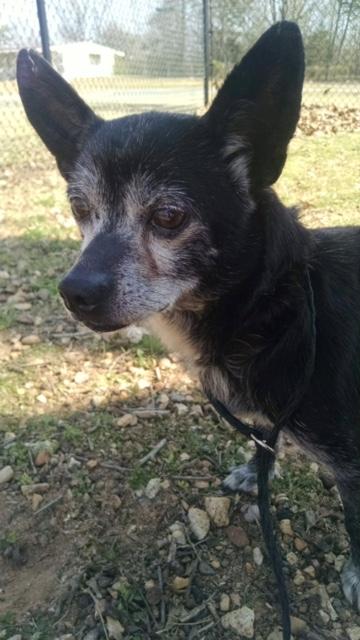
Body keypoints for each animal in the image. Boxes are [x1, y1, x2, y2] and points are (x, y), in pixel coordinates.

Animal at [16, 20, 360, 612]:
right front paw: (256, 471)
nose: (74, 292)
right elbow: (263, 439)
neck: (275, 308)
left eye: (169, 217)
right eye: (80, 209)